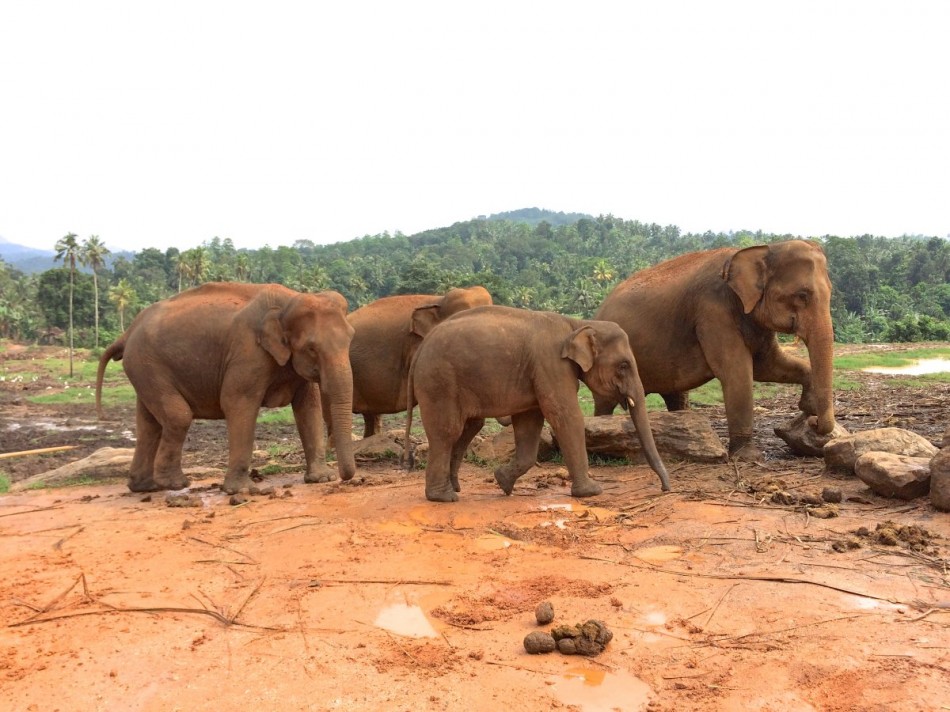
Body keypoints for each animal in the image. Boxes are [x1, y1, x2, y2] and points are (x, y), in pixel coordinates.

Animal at [95, 280, 358, 492]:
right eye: (312, 348)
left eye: (351, 339)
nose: (344, 478)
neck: (288, 301)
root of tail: (127, 332)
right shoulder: (248, 352)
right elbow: (237, 403)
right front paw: (242, 491)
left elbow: (308, 408)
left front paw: (321, 479)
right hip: (146, 364)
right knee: (178, 416)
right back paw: (175, 484)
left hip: (144, 369)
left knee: (149, 423)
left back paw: (144, 487)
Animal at [406, 304, 672, 500]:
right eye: (624, 366)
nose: (664, 489)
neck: (577, 325)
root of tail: (419, 350)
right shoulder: (551, 364)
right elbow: (565, 416)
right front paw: (592, 492)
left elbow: (529, 423)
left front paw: (503, 482)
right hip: (438, 382)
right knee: (447, 431)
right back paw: (444, 497)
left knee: (468, 428)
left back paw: (455, 488)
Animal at [600, 241, 836, 462]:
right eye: (802, 295)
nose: (814, 422)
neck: (763, 248)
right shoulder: (713, 311)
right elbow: (738, 373)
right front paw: (749, 457)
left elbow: (768, 366)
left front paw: (808, 405)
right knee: (605, 401)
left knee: (675, 394)